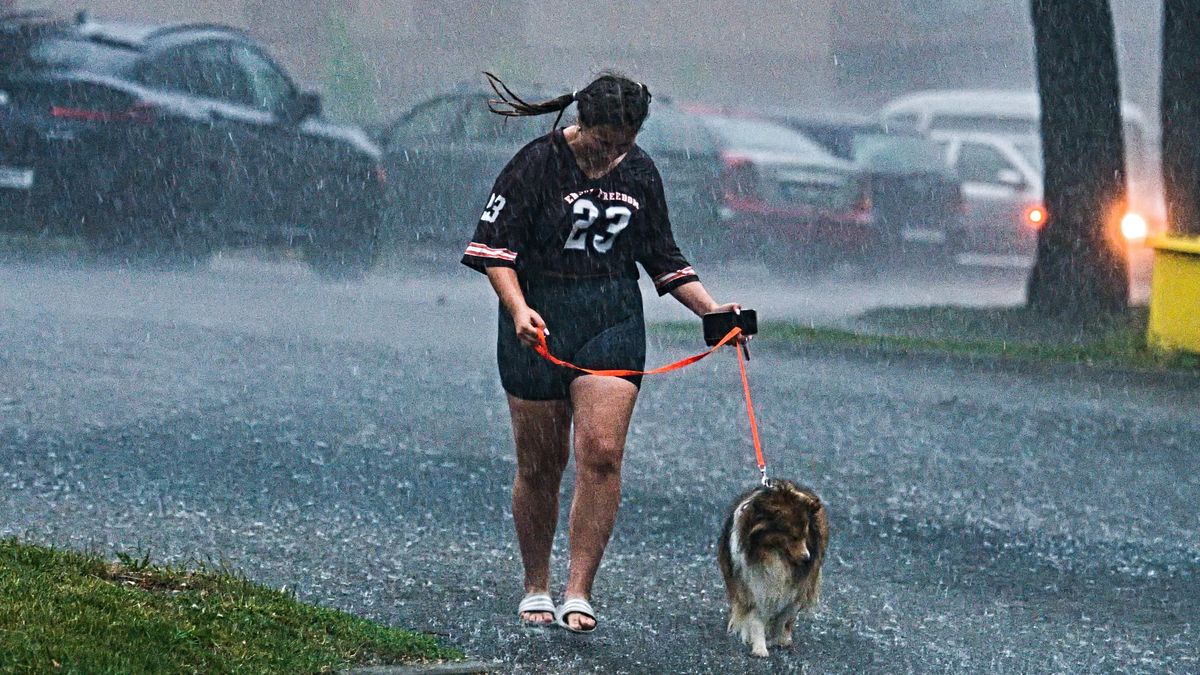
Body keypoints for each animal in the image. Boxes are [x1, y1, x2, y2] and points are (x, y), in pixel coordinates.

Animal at [715, 478, 830, 658]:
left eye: (805, 534)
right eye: (792, 536)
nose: (807, 558)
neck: (773, 554)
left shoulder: (797, 587)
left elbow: (785, 616)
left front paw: (780, 639)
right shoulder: (752, 585)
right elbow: (756, 618)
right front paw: (760, 648)